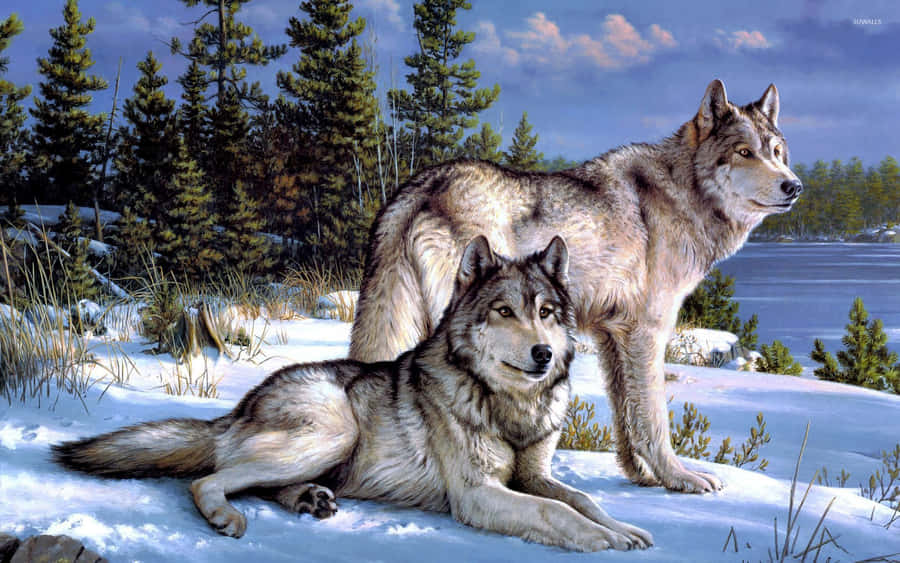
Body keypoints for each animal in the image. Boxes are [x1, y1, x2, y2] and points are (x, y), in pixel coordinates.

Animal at [53, 236, 653, 552]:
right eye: (505, 311)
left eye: (546, 313)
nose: (543, 354)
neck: (509, 407)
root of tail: (240, 407)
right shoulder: (478, 494)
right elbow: (556, 513)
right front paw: (604, 540)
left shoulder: (535, 475)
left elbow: (583, 500)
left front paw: (626, 527)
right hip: (334, 432)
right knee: (207, 480)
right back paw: (229, 517)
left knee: (256, 482)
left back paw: (309, 500)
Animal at [350, 79, 802, 494]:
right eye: (744, 153)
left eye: (777, 152)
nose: (793, 186)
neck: (682, 193)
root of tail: (421, 185)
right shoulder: (648, 333)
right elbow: (654, 419)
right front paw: (679, 478)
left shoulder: (612, 336)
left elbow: (626, 417)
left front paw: (641, 476)